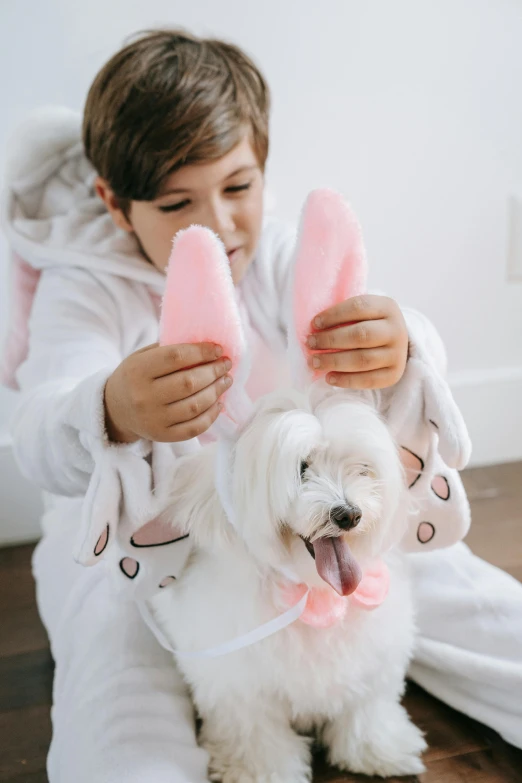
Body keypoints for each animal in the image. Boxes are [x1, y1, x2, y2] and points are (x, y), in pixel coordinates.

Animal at [151, 388, 426, 783]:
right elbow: (255, 733)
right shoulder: (239, 685)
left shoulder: (373, 658)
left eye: (361, 468)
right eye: (301, 469)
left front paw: (377, 749)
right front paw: (260, 772)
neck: (313, 592)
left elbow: (366, 705)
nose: (349, 514)